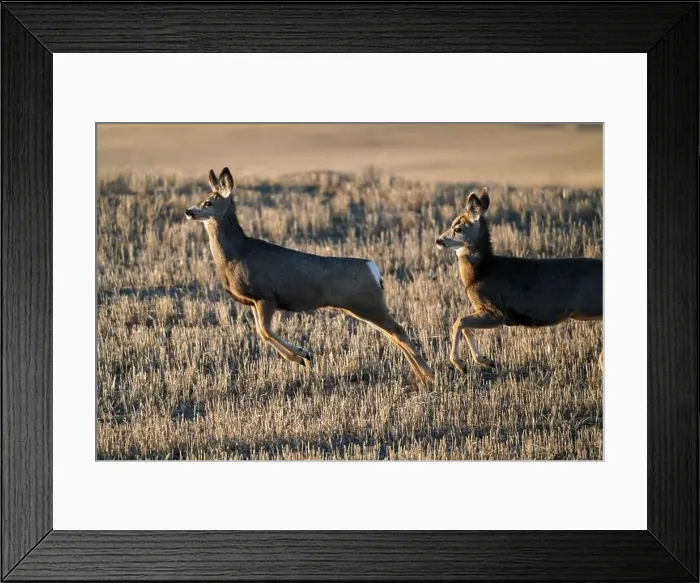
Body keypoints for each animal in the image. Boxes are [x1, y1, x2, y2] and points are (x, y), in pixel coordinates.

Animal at [184, 167, 435, 383]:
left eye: (208, 202)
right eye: (202, 198)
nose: (189, 211)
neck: (236, 254)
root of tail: (372, 268)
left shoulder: (266, 295)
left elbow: (265, 331)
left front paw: (302, 355)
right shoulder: (254, 302)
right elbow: (262, 332)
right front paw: (302, 356)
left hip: (367, 302)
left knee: (397, 330)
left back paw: (429, 374)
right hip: (360, 306)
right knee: (392, 333)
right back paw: (420, 375)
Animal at [435, 187, 603, 373]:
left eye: (458, 228)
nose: (439, 240)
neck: (481, 272)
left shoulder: (497, 311)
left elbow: (459, 321)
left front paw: (460, 363)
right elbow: (465, 327)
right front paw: (486, 360)